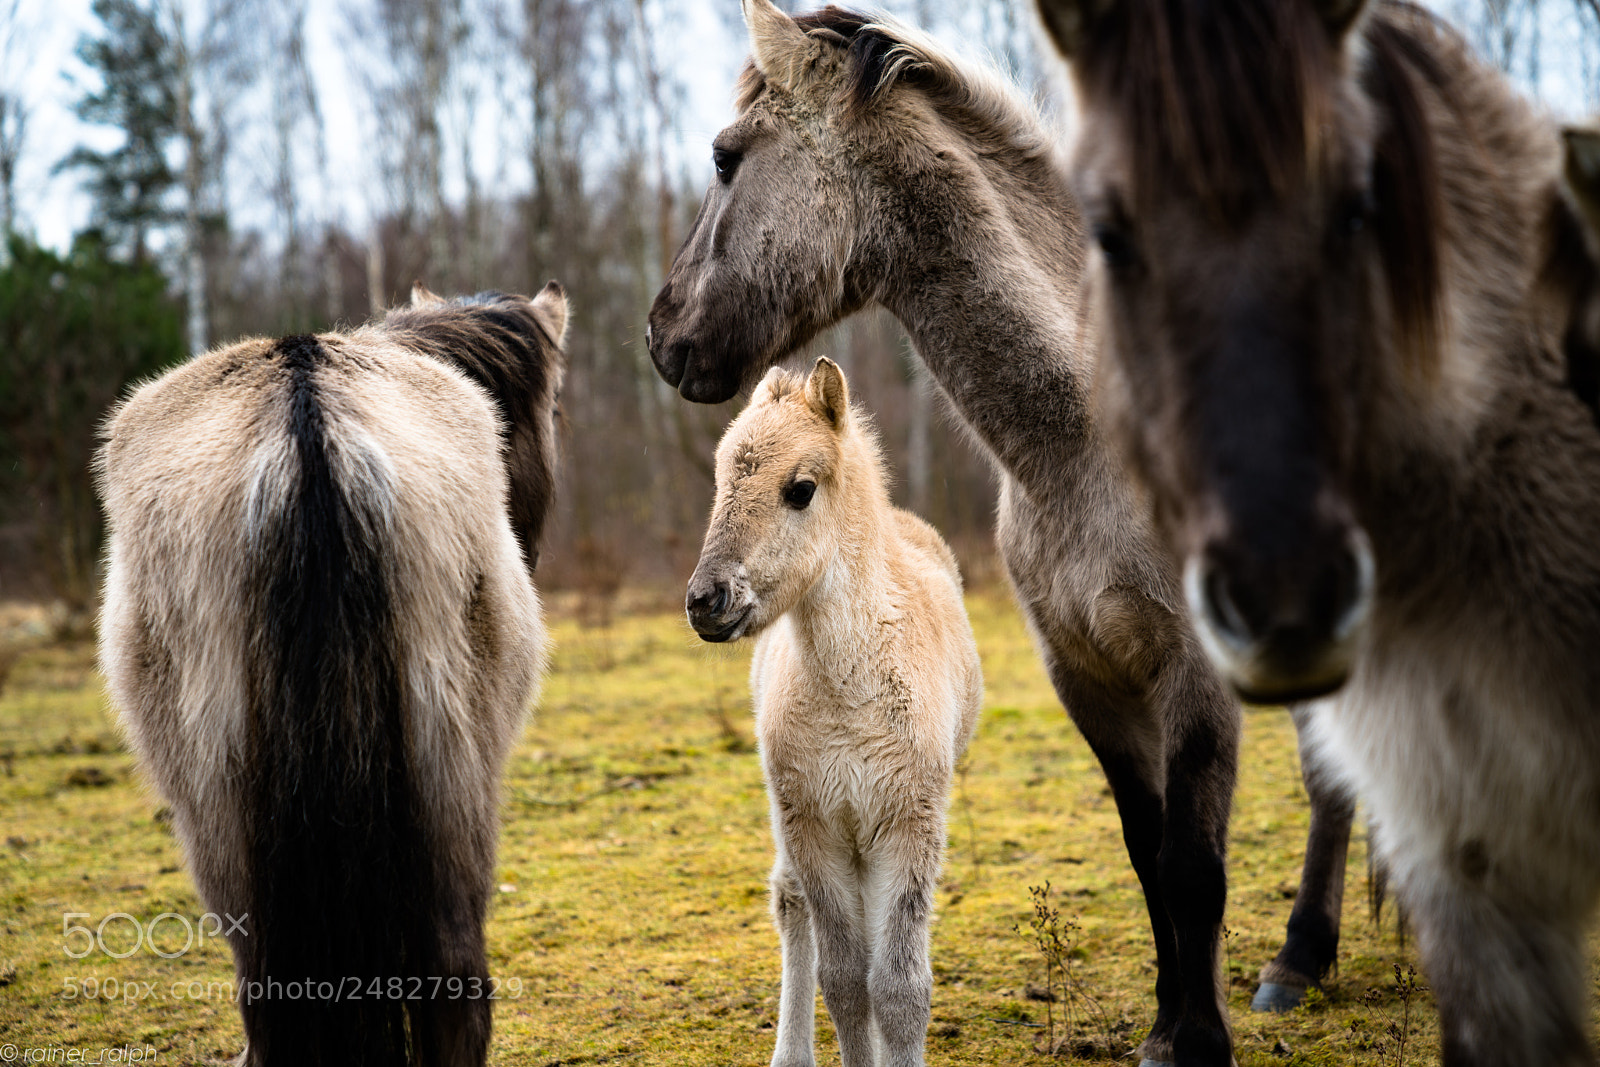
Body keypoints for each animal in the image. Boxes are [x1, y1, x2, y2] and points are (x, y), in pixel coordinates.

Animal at [686, 357, 983, 1067]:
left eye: (800, 489)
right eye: (720, 481)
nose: (706, 601)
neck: (851, 698)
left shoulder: (907, 822)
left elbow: (898, 985)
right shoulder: (815, 825)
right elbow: (845, 977)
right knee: (790, 901)